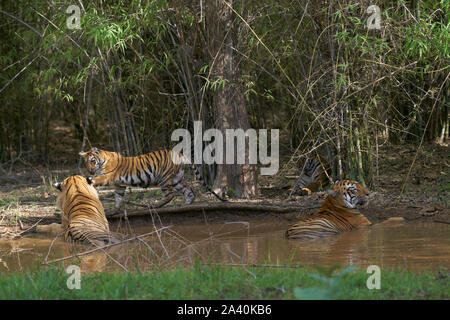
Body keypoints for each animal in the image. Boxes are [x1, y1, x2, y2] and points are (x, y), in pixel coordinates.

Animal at [79, 147, 227, 215]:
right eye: (86, 162)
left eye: (92, 161)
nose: (90, 171)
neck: (103, 160)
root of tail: (179, 153)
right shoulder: (119, 185)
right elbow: (118, 198)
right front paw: (114, 211)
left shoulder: (107, 177)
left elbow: (98, 180)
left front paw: (90, 180)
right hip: (177, 179)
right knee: (189, 191)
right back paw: (186, 203)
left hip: (163, 178)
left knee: (170, 195)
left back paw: (153, 206)